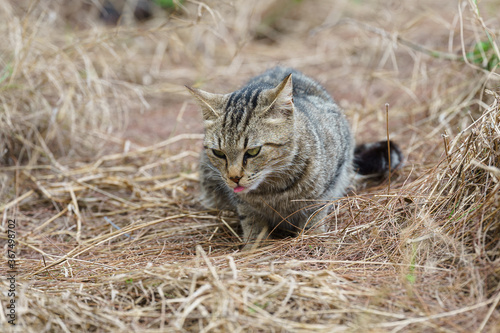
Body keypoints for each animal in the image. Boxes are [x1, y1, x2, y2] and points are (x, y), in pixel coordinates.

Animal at [188, 67, 402, 249]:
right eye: (219, 153)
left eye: (253, 151)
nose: (233, 178)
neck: (272, 190)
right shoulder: (244, 205)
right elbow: (251, 224)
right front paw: (253, 247)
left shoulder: (324, 190)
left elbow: (314, 216)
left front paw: (314, 239)